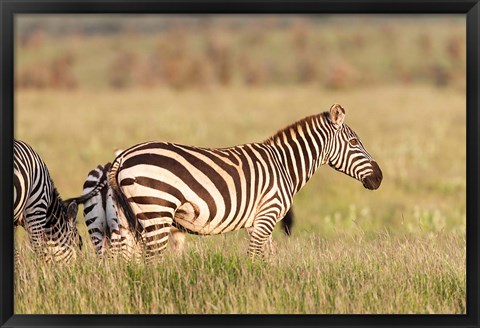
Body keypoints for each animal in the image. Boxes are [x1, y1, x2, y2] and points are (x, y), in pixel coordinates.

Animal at [106, 104, 382, 260]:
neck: (284, 165)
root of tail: (122, 156)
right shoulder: (267, 215)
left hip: (129, 220)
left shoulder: (257, 221)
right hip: (157, 211)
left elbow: (268, 258)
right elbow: (253, 258)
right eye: (354, 142)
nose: (379, 178)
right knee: (151, 261)